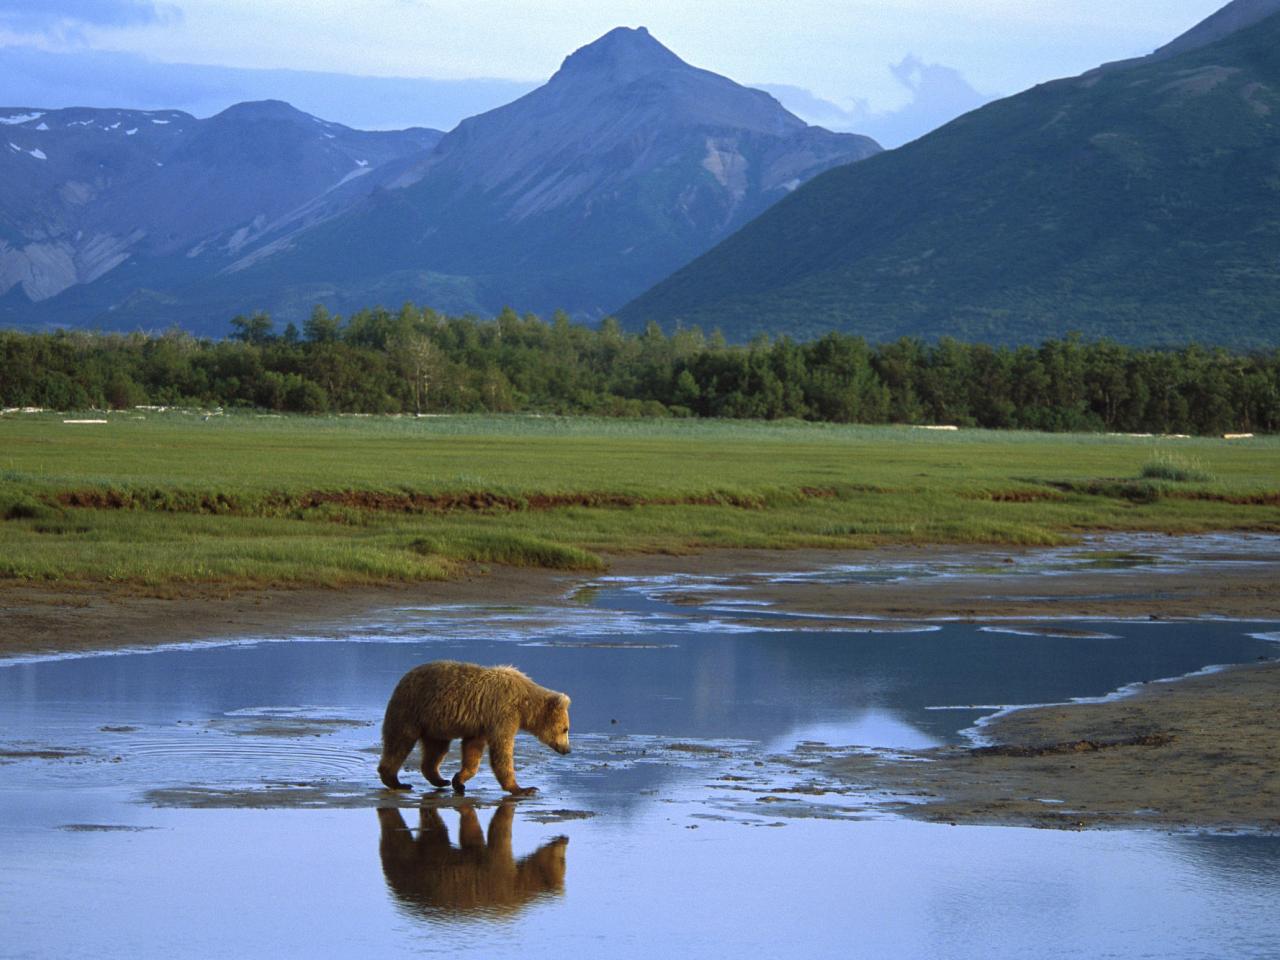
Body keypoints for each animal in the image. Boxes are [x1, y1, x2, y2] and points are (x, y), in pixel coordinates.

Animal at [376, 660, 573, 798]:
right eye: (565, 729)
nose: (567, 749)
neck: (525, 706)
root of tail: (404, 678)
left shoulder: (481, 724)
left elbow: (473, 751)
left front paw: (459, 780)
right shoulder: (503, 714)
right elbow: (502, 751)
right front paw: (524, 788)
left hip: (435, 724)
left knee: (436, 750)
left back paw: (440, 780)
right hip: (411, 709)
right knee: (399, 742)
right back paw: (396, 781)